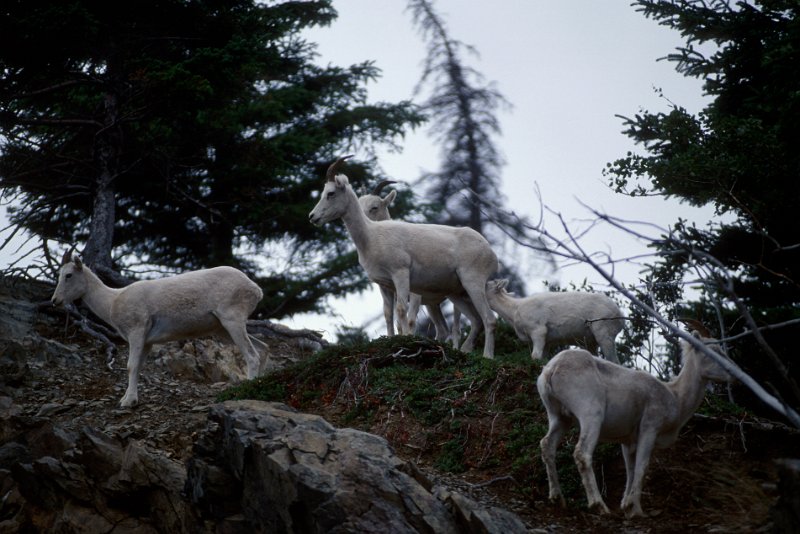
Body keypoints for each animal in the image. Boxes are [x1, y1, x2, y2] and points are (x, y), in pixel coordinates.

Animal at [51, 253, 268, 408]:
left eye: (68, 275)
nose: (55, 301)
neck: (112, 301)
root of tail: (256, 289)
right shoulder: (147, 342)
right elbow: (138, 367)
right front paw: (128, 399)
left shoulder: (137, 332)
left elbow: (130, 366)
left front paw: (127, 403)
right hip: (222, 328)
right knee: (263, 348)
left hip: (232, 320)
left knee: (252, 355)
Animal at [310, 157, 496, 362]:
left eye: (331, 193)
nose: (312, 217)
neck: (372, 236)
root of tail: (489, 250)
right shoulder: (384, 285)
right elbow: (388, 314)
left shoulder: (401, 276)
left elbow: (402, 311)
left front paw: (406, 340)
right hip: (456, 293)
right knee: (474, 321)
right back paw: (465, 350)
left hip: (473, 283)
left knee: (488, 319)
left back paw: (488, 356)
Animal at [484, 280, 620, 364]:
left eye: (487, 284)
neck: (514, 309)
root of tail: (619, 314)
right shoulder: (548, 341)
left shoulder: (538, 331)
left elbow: (535, 356)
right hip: (590, 341)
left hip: (604, 333)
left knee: (613, 361)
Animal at [536, 326, 732, 520]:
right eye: (714, 350)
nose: (732, 373)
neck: (675, 397)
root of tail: (550, 370)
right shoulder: (650, 427)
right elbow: (641, 467)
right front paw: (637, 510)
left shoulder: (627, 439)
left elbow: (630, 469)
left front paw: (626, 506)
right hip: (590, 413)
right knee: (581, 453)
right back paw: (599, 506)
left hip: (559, 417)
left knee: (547, 444)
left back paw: (557, 499)